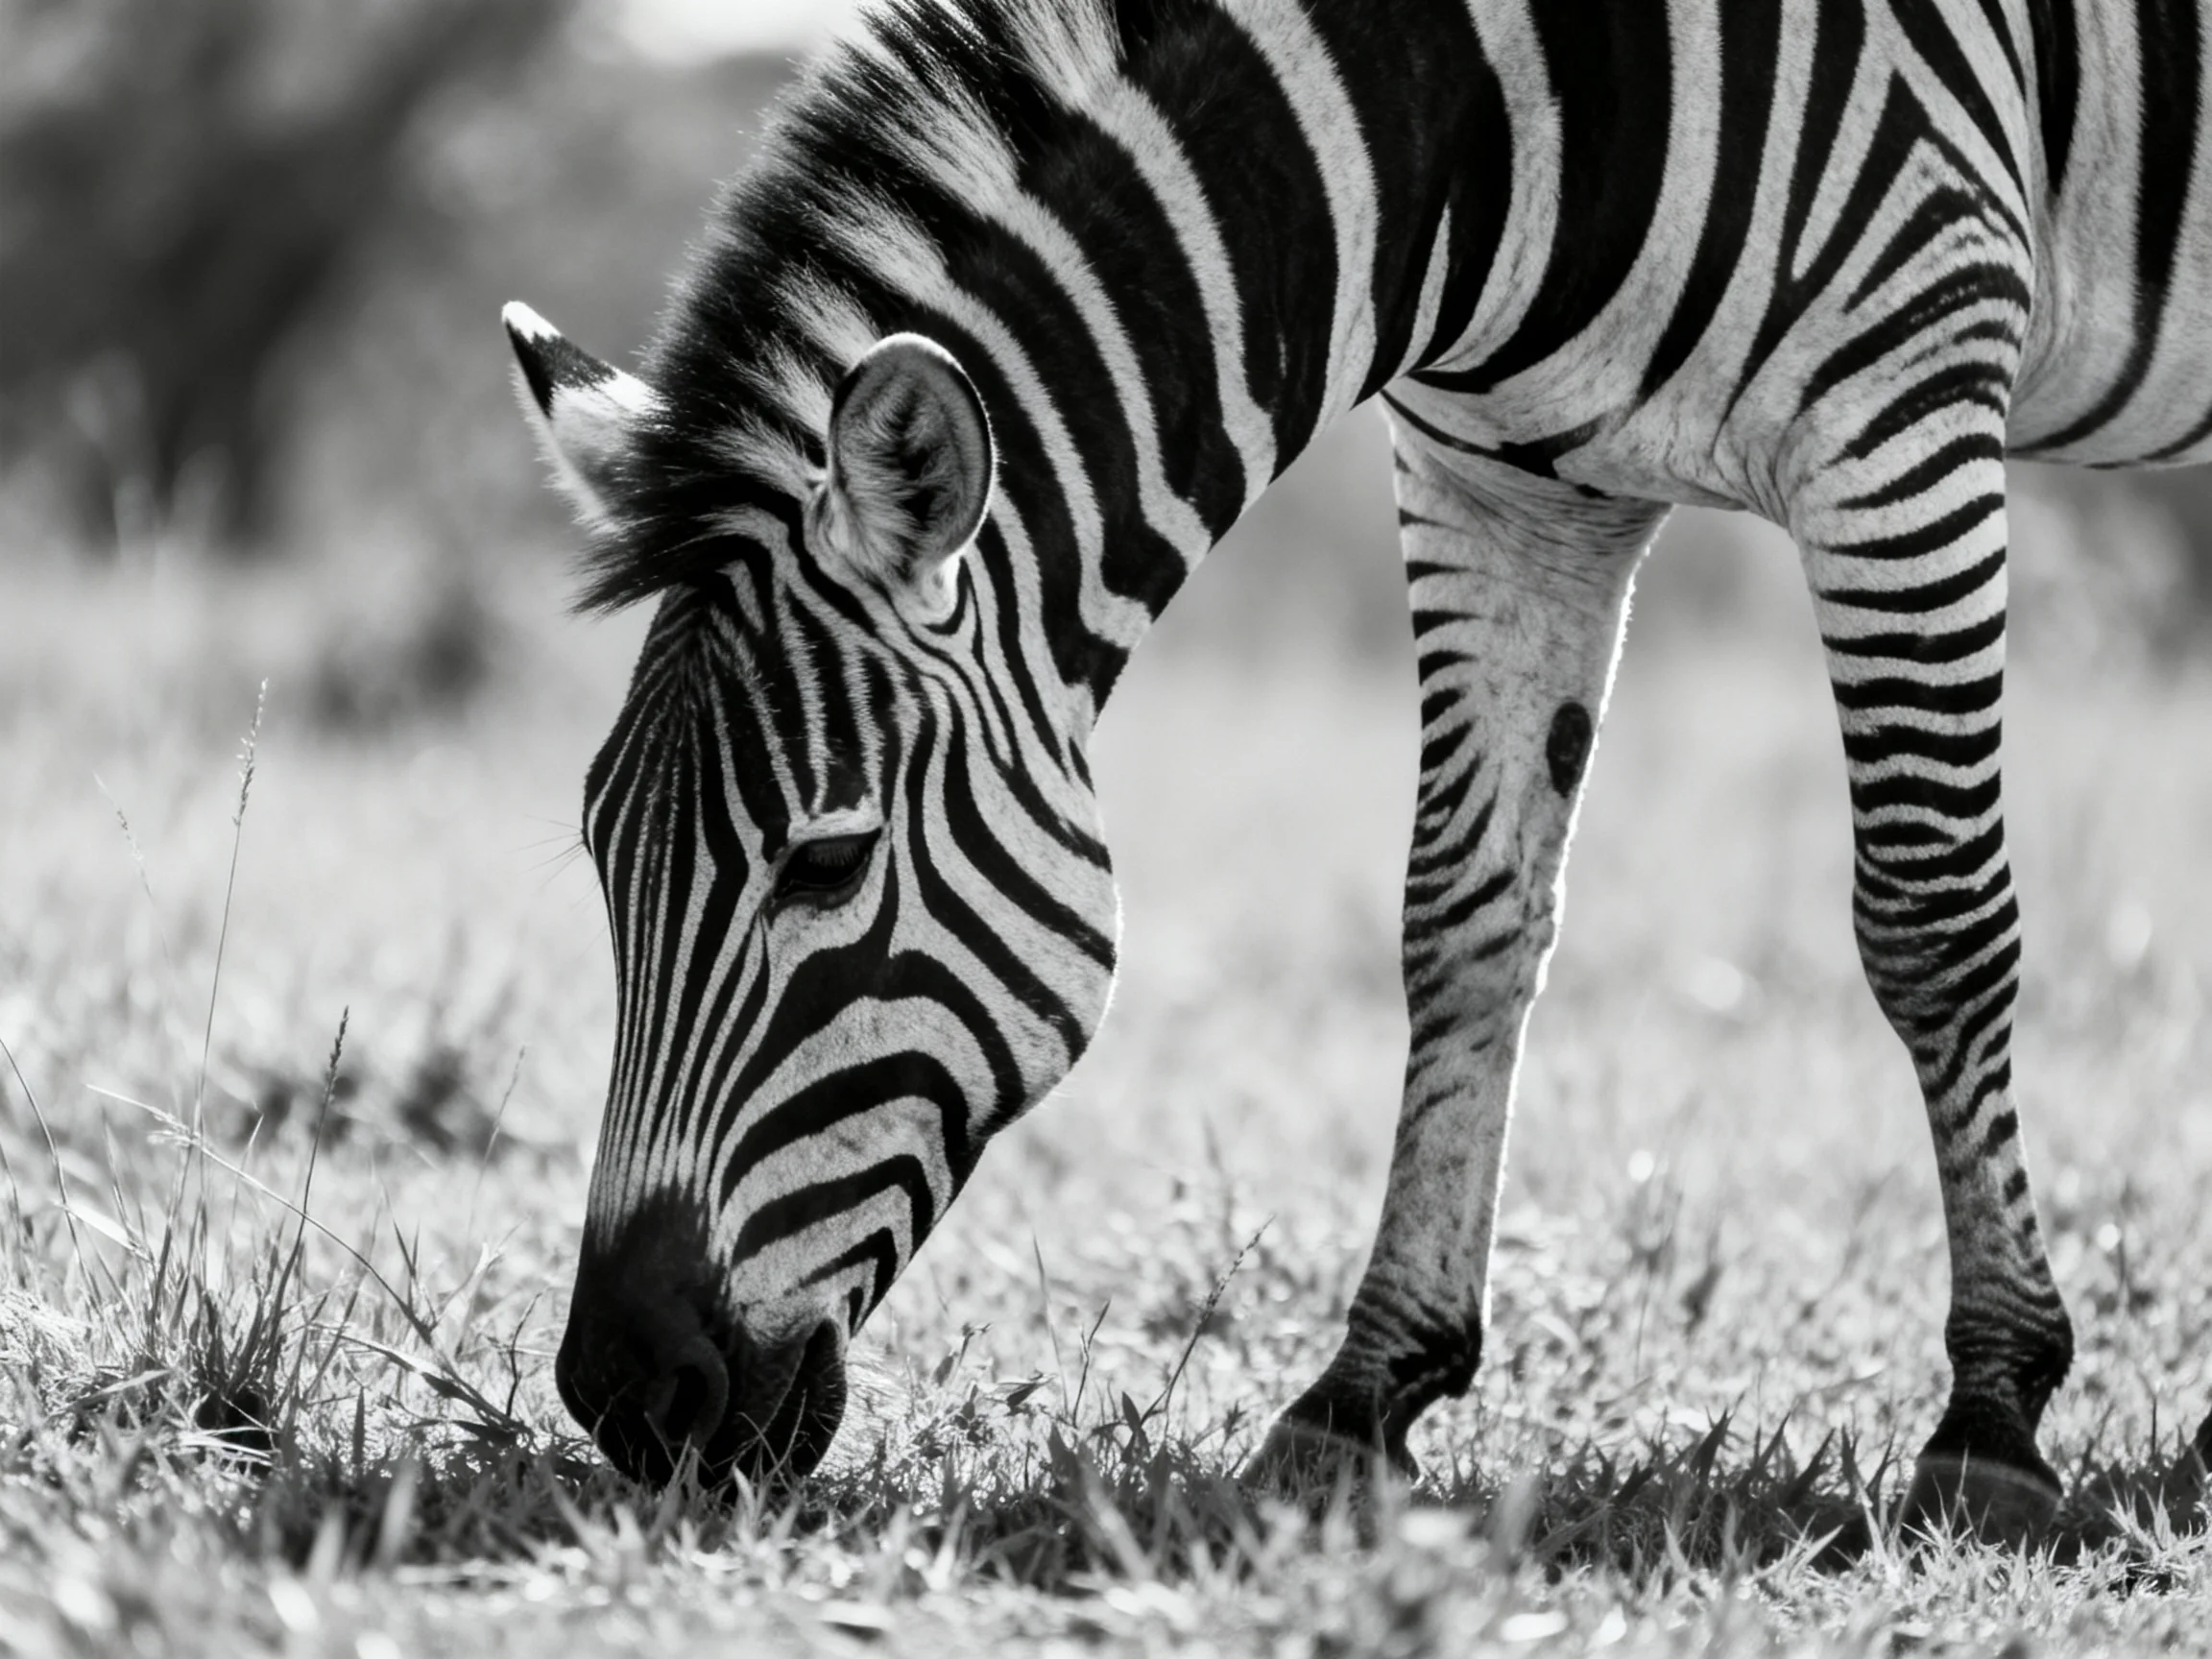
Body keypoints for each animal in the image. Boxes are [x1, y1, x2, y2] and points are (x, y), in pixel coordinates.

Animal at [505, 0, 2212, 1535]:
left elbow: (1934, 920)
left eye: (828, 860)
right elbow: (1464, 924)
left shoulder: (1901, 410)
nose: (625, 1395)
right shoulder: (1504, 481)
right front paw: (1366, 1395)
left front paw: (1992, 1419)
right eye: (597, 855)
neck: (1493, 113)